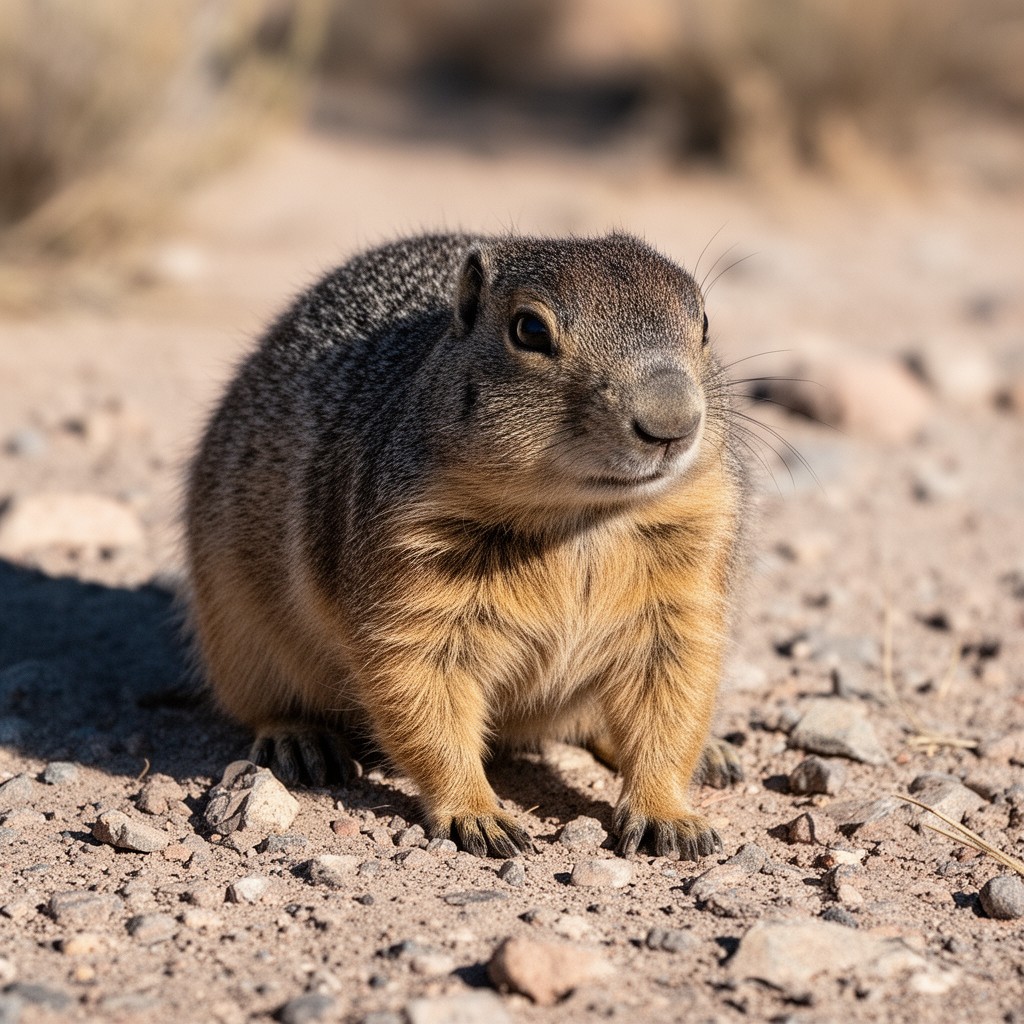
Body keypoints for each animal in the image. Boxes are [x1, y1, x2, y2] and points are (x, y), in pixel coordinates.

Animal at [184, 232, 748, 860]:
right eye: (529, 329)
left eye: (703, 321)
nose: (672, 422)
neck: (583, 518)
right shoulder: (412, 583)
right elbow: (424, 697)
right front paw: (478, 816)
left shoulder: (685, 591)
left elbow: (673, 700)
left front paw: (669, 816)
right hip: (236, 629)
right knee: (261, 702)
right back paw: (299, 741)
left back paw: (715, 755)